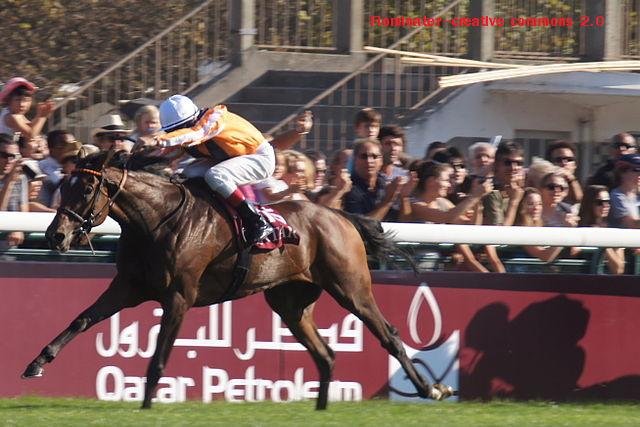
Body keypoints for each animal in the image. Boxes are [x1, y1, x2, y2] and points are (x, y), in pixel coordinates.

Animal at [22, 149, 453, 409]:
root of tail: (340, 215)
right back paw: (321, 408)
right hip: (290, 303)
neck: (156, 221)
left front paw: (145, 405)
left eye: (86, 188)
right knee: (326, 354)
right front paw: (36, 364)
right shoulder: (128, 287)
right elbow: (81, 320)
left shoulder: (178, 296)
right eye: (65, 185)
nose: (55, 236)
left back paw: (430, 388)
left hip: (351, 288)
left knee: (389, 334)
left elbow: (159, 357)